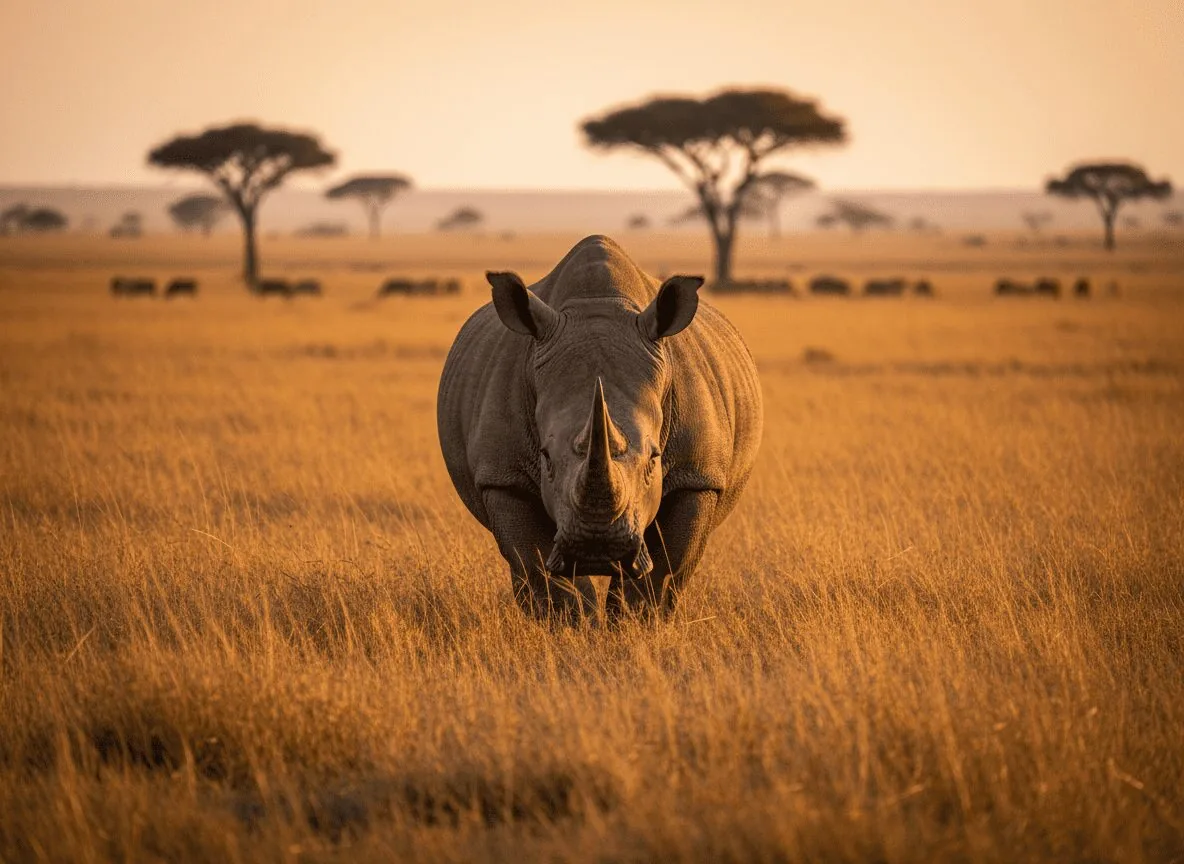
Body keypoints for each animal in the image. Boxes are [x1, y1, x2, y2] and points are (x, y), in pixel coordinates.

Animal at [437, 236, 763, 620]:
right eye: (545, 458)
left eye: (655, 458)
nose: (598, 549)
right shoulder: (503, 475)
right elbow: (541, 569)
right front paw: (574, 626)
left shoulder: (697, 475)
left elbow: (663, 572)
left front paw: (635, 625)